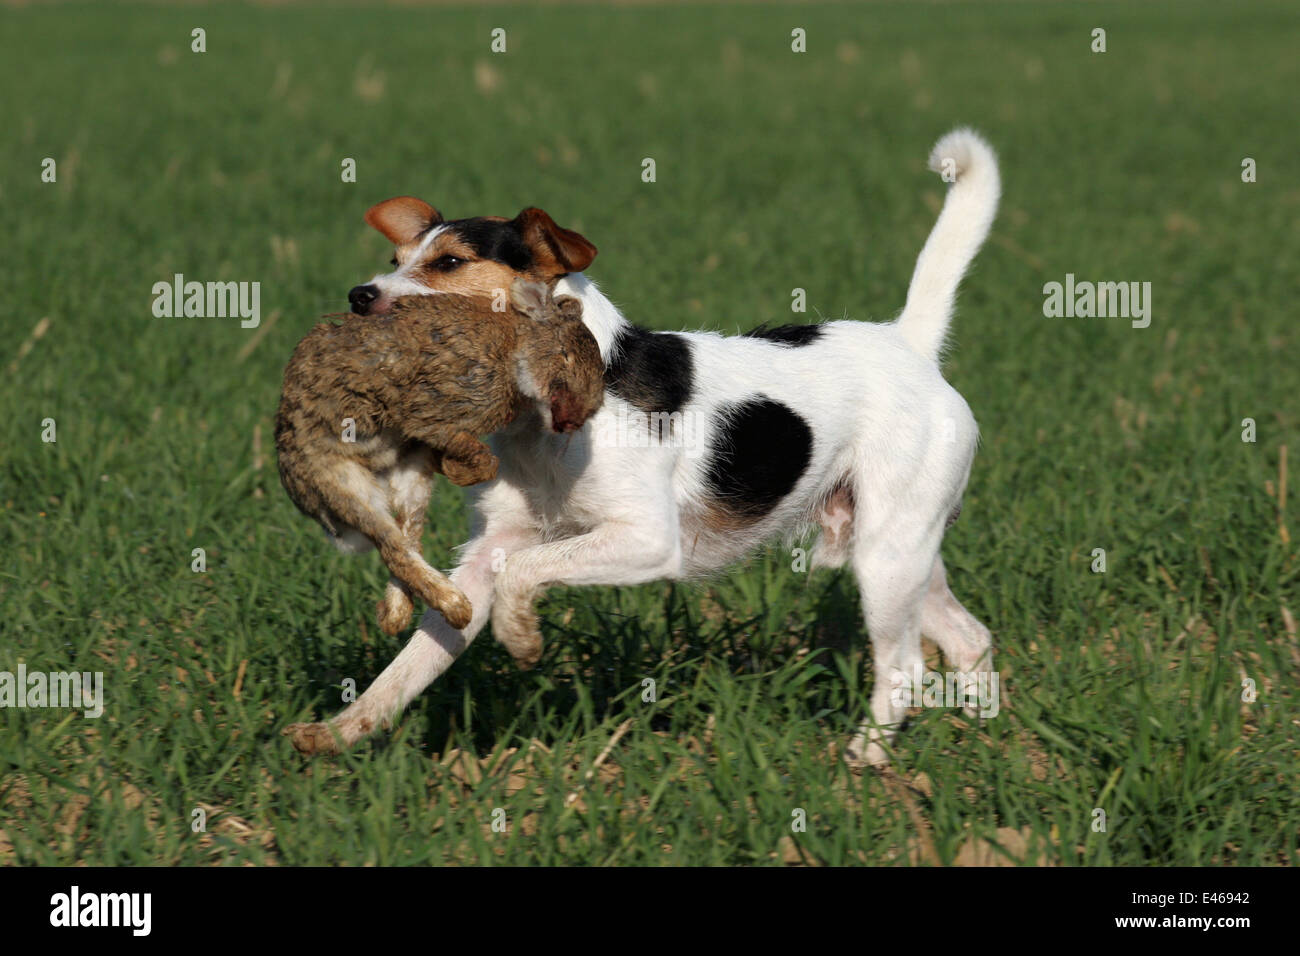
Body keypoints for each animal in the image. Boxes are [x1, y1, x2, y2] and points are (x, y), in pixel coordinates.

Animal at [273, 280, 603, 728]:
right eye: (565, 353)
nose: (583, 414)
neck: (513, 346)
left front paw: (455, 468)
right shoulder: (440, 408)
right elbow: (478, 455)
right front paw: (461, 469)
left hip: (409, 478)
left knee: (403, 539)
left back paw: (396, 614)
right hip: (340, 478)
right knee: (393, 548)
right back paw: (456, 607)